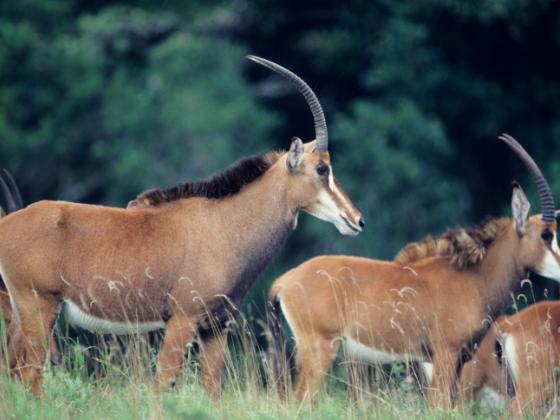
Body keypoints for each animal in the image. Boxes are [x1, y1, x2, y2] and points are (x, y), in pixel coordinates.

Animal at [2, 56, 366, 398]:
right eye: (322, 169)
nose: (357, 220)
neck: (225, 225)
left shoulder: (216, 327)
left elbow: (213, 389)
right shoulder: (183, 319)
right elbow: (162, 382)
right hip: (38, 306)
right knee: (31, 372)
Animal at [266, 135, 560, 410]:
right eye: (546, 235)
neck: (474, 278)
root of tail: (283, 282)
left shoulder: (459, 361)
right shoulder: (445, 353)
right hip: (320, 348)